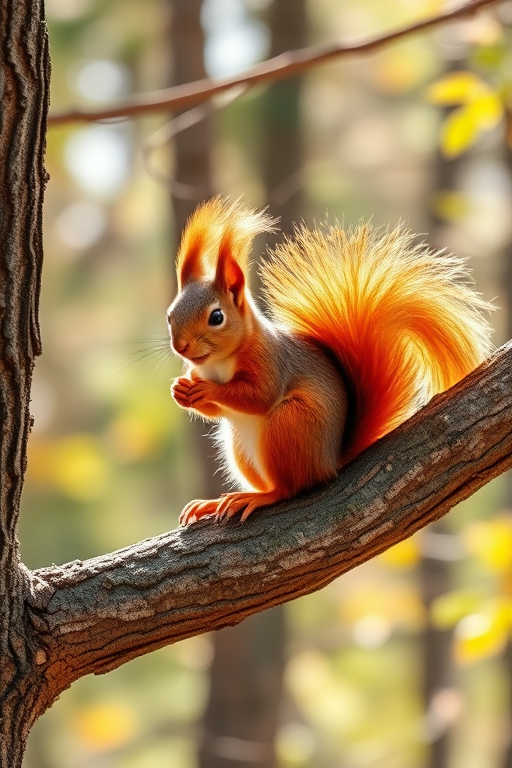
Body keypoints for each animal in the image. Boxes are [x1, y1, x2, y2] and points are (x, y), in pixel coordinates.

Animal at [167, 197, 494, 526]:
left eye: (216, 317)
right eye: (170, 315)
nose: (180, 346)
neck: (218, 363)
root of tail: (330, 461)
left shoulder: (270, 360)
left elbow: (258, 396)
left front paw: (207, 390)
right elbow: (216, 411)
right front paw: (181, 391)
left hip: (291, 421)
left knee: (289, 488)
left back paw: (257, 497)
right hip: (240, 443)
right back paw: (215, 503)